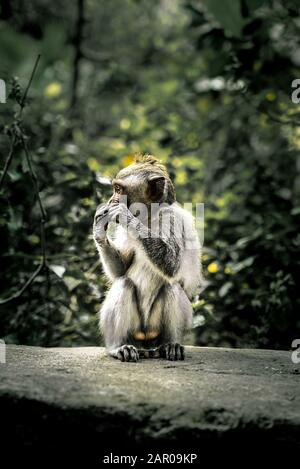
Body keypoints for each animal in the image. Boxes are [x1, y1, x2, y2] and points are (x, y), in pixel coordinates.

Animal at [94, 154, 202, 362]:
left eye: (118, 189)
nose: (111, 200)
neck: (150, 217)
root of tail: (145, 341)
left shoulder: (173, 221)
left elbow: (171, 265)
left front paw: (125, 215)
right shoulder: (123, 233)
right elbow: (121, 270)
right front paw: (99, 228)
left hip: (154, 327)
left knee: (172, 286)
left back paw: (170, 344)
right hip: (134, 329)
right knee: (124, 283)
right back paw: (118, 347)